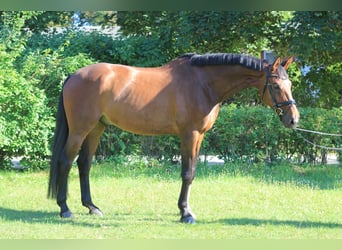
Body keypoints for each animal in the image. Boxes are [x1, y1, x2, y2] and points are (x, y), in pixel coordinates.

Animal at [47, 52, 300, 223]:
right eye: (275, 85)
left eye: (289, 83)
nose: (293, 119)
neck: (203, 83)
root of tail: (74, 76)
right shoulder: (190, 134)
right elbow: (187, 173)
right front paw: (185, 213)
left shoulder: (199, 137)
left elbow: (193, 172)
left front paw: (185, 209)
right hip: (80, 130)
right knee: (66, 162)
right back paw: (65, 209)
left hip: (96, 128)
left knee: (84, 164)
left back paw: (92, 207)